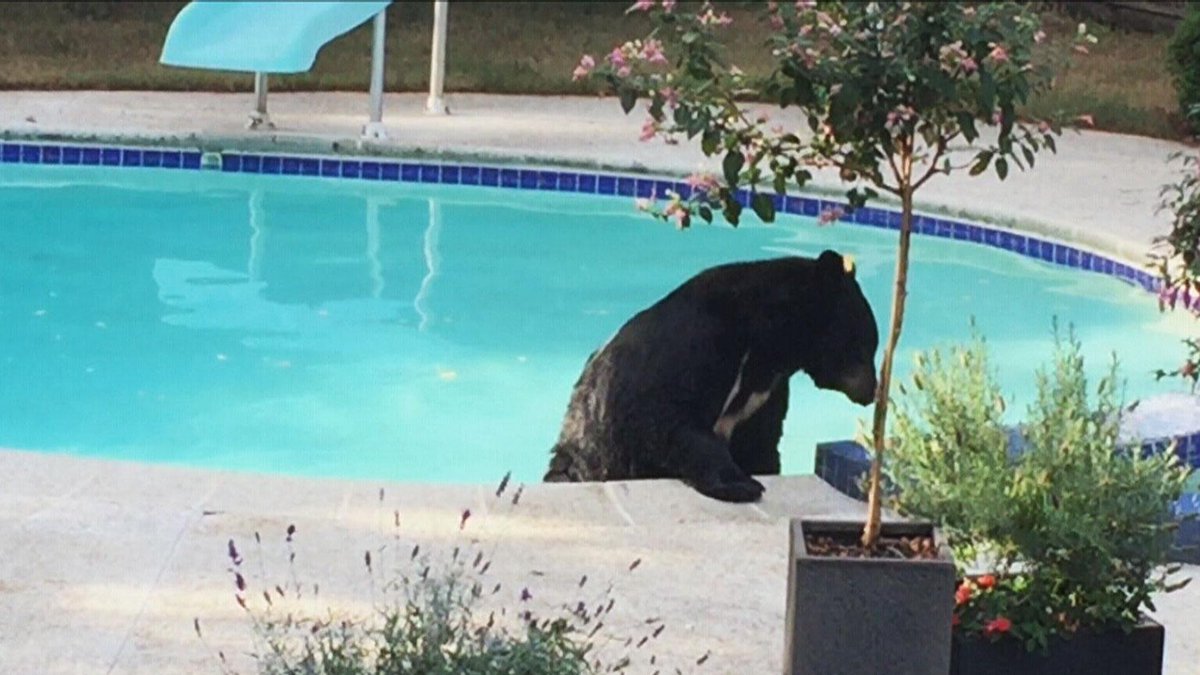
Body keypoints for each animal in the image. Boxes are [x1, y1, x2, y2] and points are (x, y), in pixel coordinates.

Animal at [543, 250, 879, 503]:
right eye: (866, 344)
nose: (872, 391)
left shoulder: (765, 393)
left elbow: (761, 442)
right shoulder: (700, 344)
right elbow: (669, 420)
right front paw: (741, 484)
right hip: (581, 459)